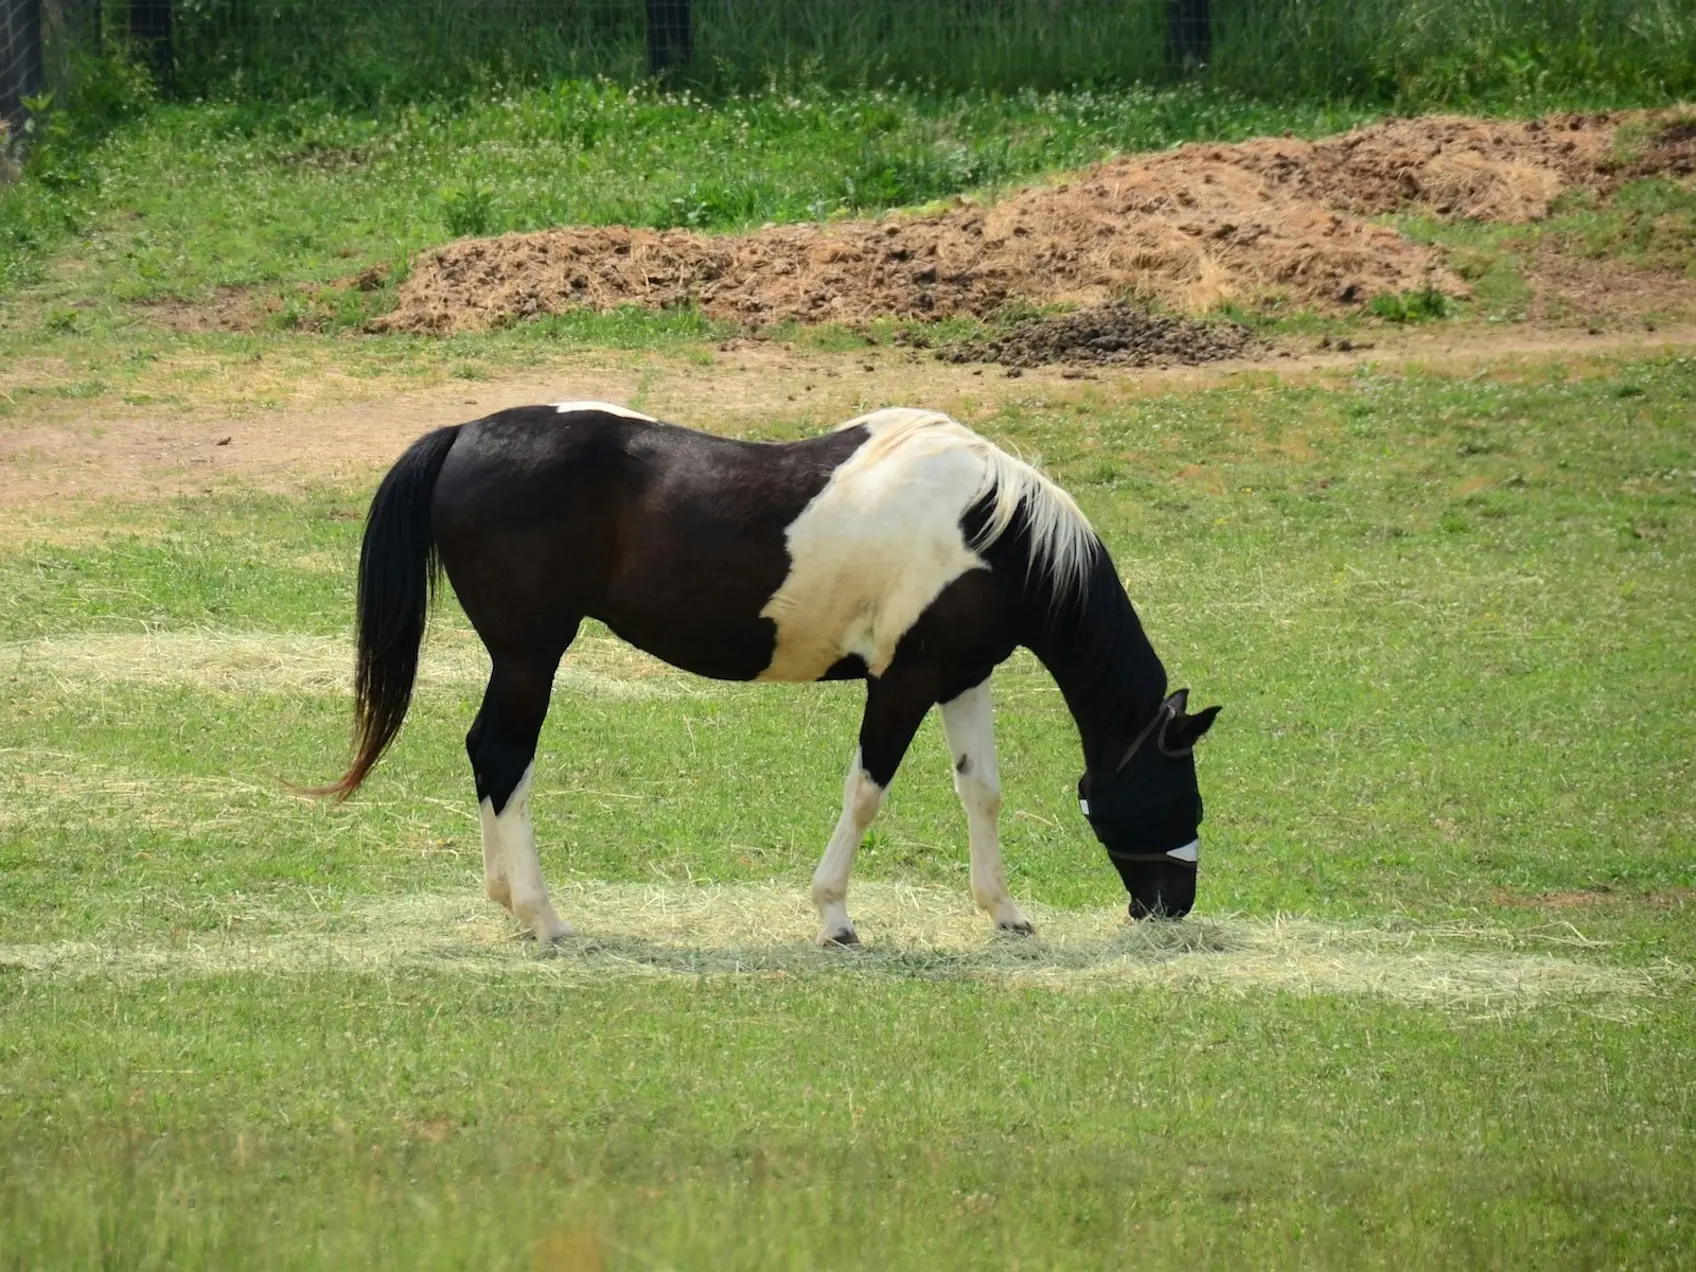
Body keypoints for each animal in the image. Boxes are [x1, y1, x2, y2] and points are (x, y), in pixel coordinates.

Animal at [318, 405, 1221, 949]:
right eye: (1183, 793)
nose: (1170, 907)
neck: (990, 527)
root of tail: (466, 432)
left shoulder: (963, 677)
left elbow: (983, 792)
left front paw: (1004, 913)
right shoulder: (903, 682)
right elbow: (867, 793)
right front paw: (835, 918)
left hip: (518, 660)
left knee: (487, 756)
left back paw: (508, 903)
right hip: (530, 657)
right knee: (505, 758)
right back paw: (545, 917)